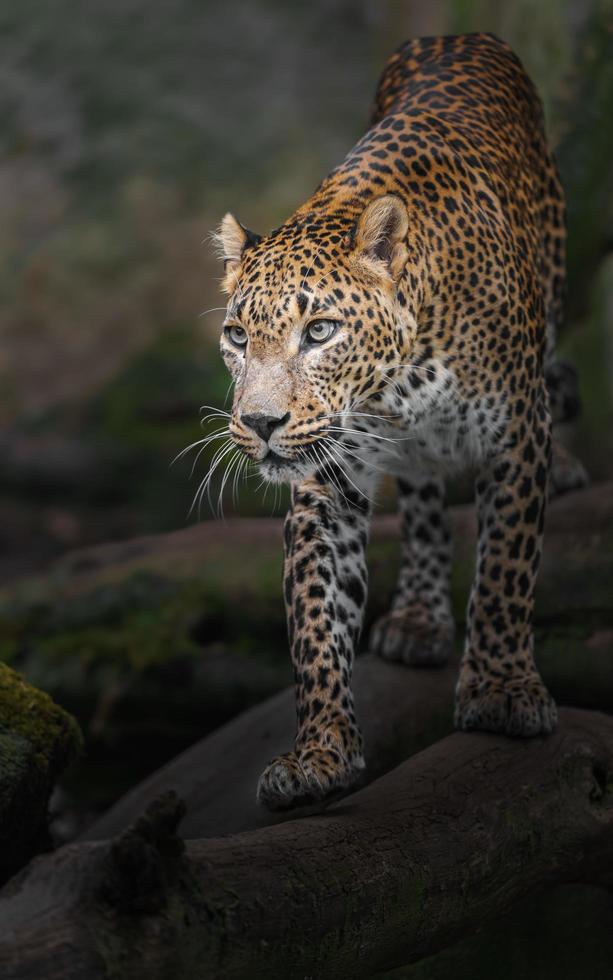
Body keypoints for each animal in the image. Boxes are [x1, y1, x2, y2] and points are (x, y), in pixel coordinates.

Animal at [213, 32, 584, 812]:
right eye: (237, 336)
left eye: (320, 331)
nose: (259, 422)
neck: (396, 382)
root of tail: (459, 35)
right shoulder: (327, 476)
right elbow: (316, 617)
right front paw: (319, 752)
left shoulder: (515, 435)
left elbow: (505, 569)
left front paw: (501, 692)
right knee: (421, 508)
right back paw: (417, 616)